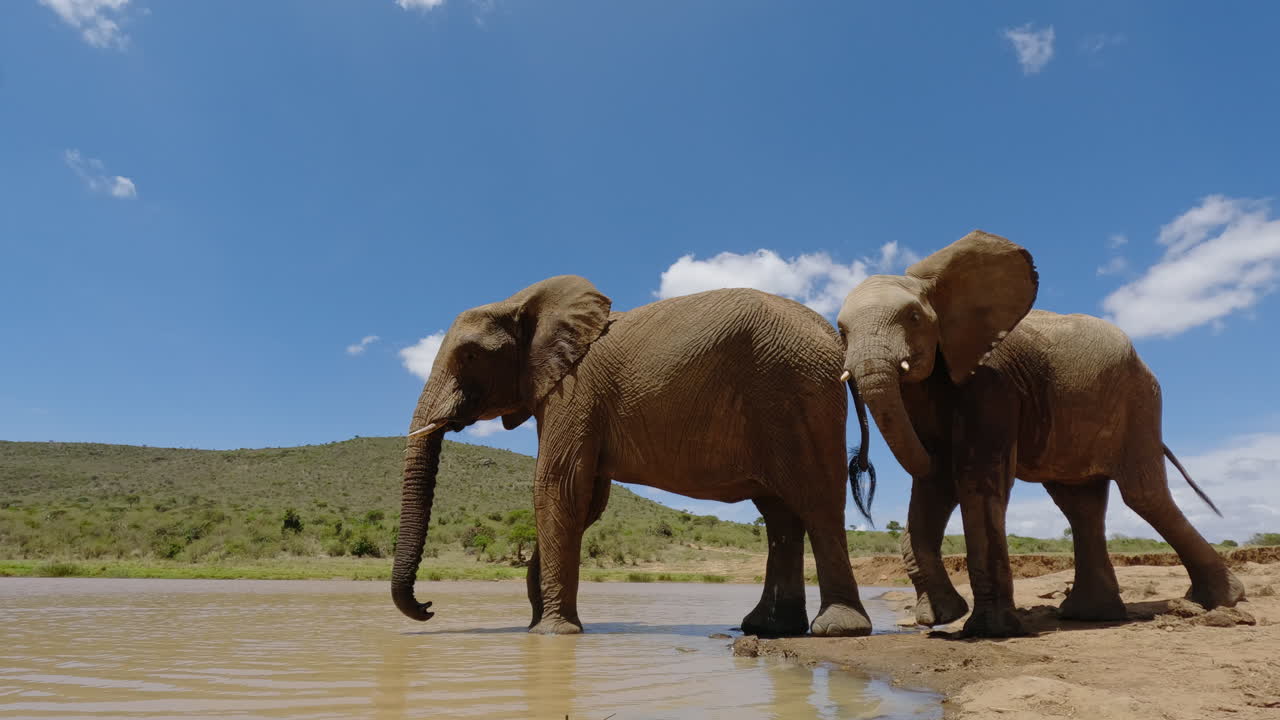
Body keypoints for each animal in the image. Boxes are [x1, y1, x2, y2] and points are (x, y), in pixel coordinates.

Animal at [392, 275, 875, 637]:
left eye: (470, 356)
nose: (429, 606)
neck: (522, 302)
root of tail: (836, 336)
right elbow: (585, 501)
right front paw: (537, 626)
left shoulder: (577, 391)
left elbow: (557, 488)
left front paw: (551, 635)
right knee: (780, 514)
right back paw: (769, 628)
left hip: (798, 390)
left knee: (817, 502)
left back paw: (838, 629)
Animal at [834, 230, 1246, 637]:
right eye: (842, 331)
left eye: (914, 317)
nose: (859, 463)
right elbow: (935, 479)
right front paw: (944, 616)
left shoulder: (993, 382)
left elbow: (973, 477)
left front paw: (989, 631)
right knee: (1080, 506)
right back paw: (1090, 615)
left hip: (1140, 400)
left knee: (1144, 496)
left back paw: (1223, 600)